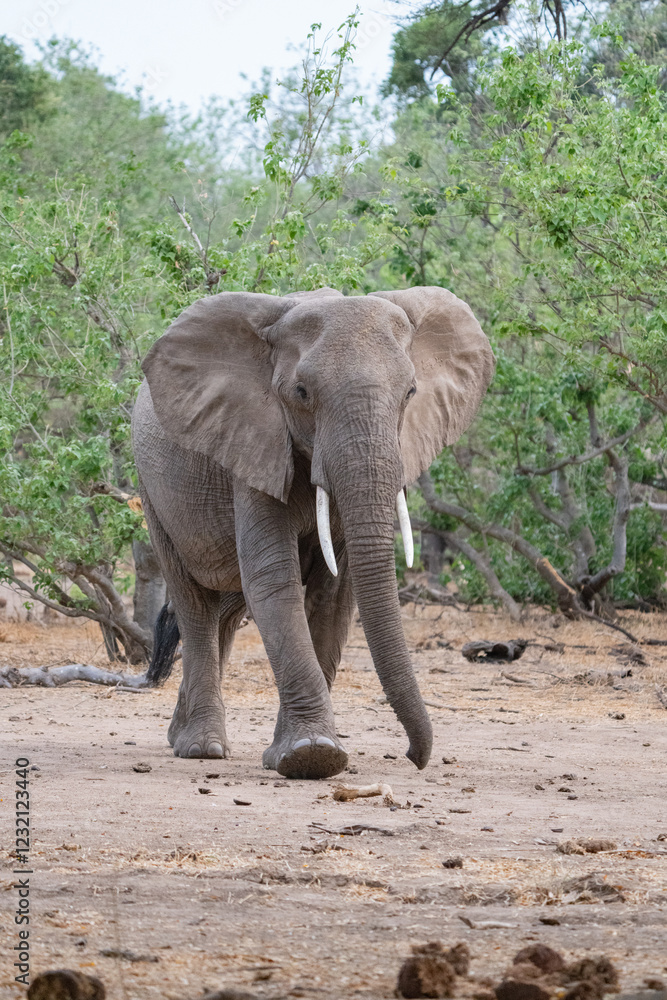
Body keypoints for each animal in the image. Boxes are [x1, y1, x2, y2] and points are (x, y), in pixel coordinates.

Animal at [131, 286, 494, 779]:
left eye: (411, 392)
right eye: (301, 393)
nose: (414, 757)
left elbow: (334, 595)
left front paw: (309, 753)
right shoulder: (256, 443)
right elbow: (274, 580)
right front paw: (311, 755)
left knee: (227, 609)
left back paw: (180, 735)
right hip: (152, 489)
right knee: (194, 603)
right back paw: (200, 748)